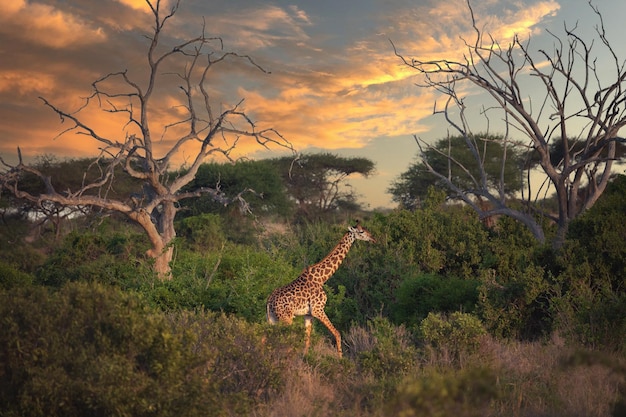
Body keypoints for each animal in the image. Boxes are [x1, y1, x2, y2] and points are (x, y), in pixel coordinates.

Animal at [264, 219, 372, 356]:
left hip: (272, 319)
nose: (372, 238)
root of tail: (269, 301)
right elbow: (337, 333)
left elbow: (307, 339)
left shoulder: (308, 314)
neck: (321, 278)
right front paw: (340, 357)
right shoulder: (318, 309)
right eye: (361, 231)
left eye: (366, 229)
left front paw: (305, 357)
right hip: (286, 318)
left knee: (265, 337)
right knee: (285, 341)